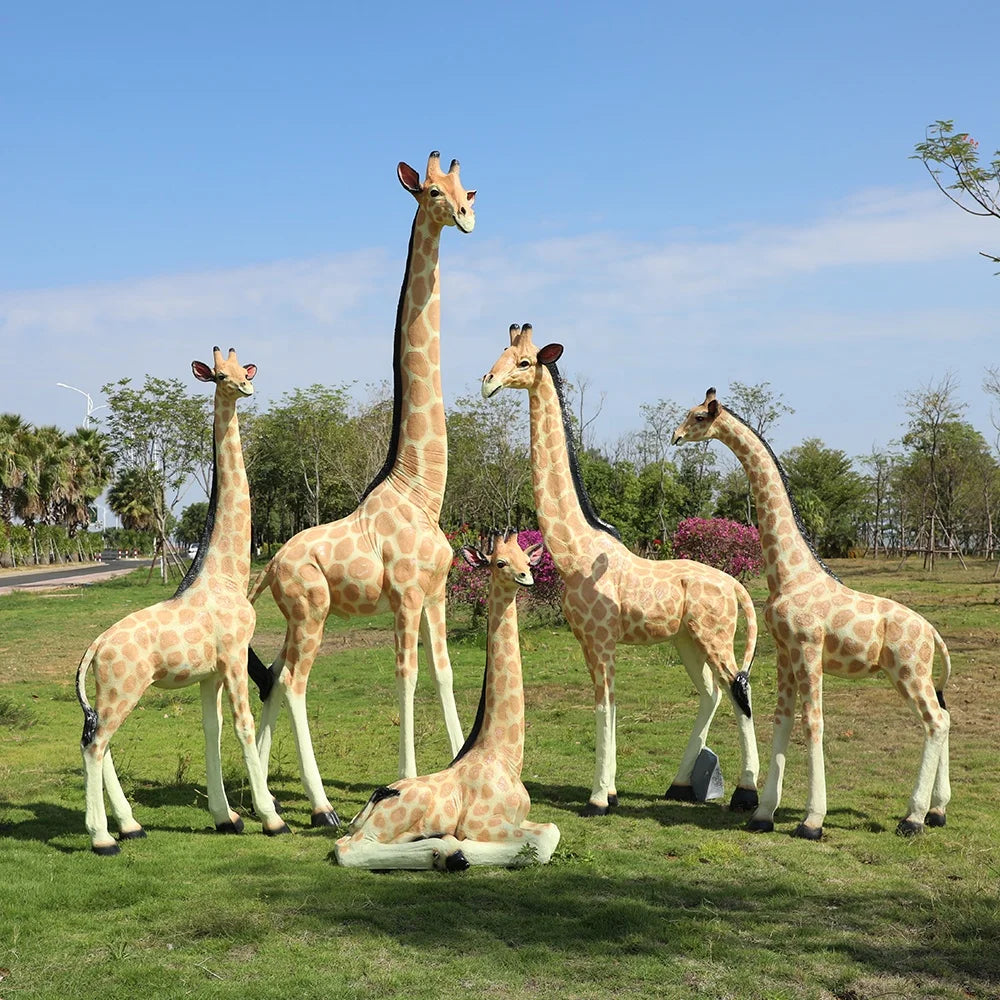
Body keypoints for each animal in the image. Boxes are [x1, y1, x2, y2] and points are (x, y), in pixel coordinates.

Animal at [75, 348, 288, 854]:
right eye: (221, 376)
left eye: (243, 370)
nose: (246, 388)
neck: (226, 573)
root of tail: (96, 647)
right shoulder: (234, 655)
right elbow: (243, 725)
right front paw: (271, 818)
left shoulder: (210, 672)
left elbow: (213, 729)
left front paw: (227, 817)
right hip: (124, 687)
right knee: (95, 743)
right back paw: (103, 838)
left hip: (113, 691)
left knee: (97, 739)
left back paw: (130, 825)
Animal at [247, 152, 475, 827]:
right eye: (432, 192)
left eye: (467, 189)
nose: (466, 217)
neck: (422, 488)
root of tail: (270, 566)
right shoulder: (404, 594)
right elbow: (408, 678)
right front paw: (404, 780)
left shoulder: (437, 592)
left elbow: (445, 673)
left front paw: (465, 758)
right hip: (314, 609)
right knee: (293, 683)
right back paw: (320, 807)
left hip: (297, 615)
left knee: (272, 677)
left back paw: (265, 797)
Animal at [334, 532, 561, 870]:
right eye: (499, 562)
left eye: (527, 559)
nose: (525, 577)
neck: (505, 756)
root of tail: (374, 799)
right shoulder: (480, 822)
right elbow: (543, 840)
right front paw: (463, 847)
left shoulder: (522, 818)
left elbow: (550, 828)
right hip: (399, 815)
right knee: (348, 849)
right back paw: (447, 852)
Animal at [481, 325, 761, 816]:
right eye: (499, 354)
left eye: (524, 362)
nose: (487, 383)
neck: (574, 551)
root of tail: (733, 584)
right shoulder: (586, 641)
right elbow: (607, 709)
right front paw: (608, 790)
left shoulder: (603, 639)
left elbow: (605, 707)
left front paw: (597, 798)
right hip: (687, 640)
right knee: (712, 692)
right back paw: (679, 785)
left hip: (716, 636)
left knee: (739, 691)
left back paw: (747, 795)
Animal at [673, 388, 952, 839]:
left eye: (699, 416)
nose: (676, 437)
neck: (789, 574)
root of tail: (933, 633)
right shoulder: (785, 652)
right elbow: (782, 720)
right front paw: (762, 813)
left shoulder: (808, 648)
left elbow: (813, 723)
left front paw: (811, 821)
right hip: (910, 673)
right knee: (942, 717)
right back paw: (938, 811)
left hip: (909, 670)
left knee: (936, 722)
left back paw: (912, 819)